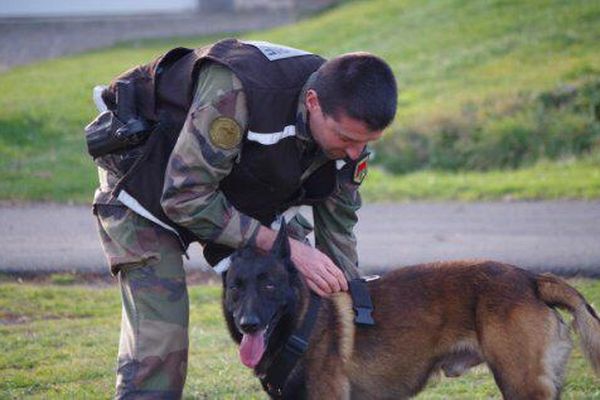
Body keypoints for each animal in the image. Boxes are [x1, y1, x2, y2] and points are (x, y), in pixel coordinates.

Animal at [223, 227, 600, 398]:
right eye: (236, 288)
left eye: (269, 285)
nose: (248, 324)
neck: (302, 322)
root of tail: (532, 279)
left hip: (520, 385)